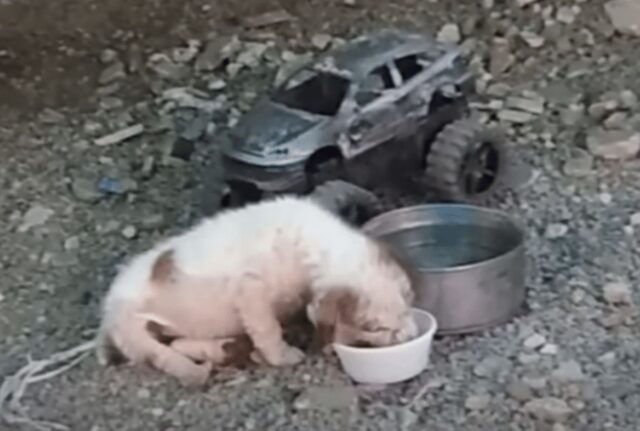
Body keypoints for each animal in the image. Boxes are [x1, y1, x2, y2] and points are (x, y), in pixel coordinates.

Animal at [94, 194, 416, 386]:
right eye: (374, 327)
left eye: (408, 303)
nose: (412, 335)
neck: (314, 244)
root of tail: (106, 318)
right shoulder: (251, 292)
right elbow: (267, 329)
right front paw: (283, 356)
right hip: (133, 331)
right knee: (163, 356)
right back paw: (196, 371)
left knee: (178, 343)